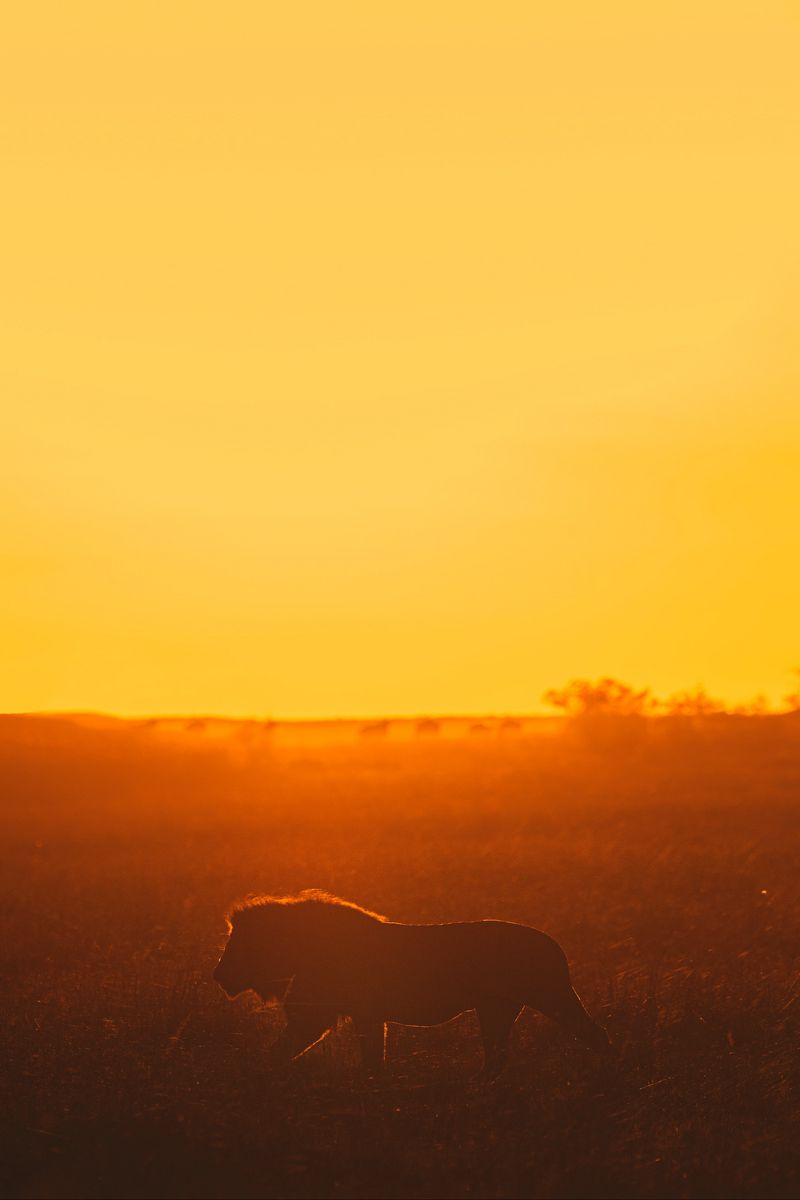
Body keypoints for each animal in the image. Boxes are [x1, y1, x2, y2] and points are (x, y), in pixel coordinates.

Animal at [213, 890, 611, 1073]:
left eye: (239, 941)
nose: (218, 975)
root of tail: (553, 944)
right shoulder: (363, 1015)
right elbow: (373, 1058)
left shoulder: (321, 1015)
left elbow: (283, 1049)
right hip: (497, 1010)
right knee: (496, 1057)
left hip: (552, 997)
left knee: (596, 1035)